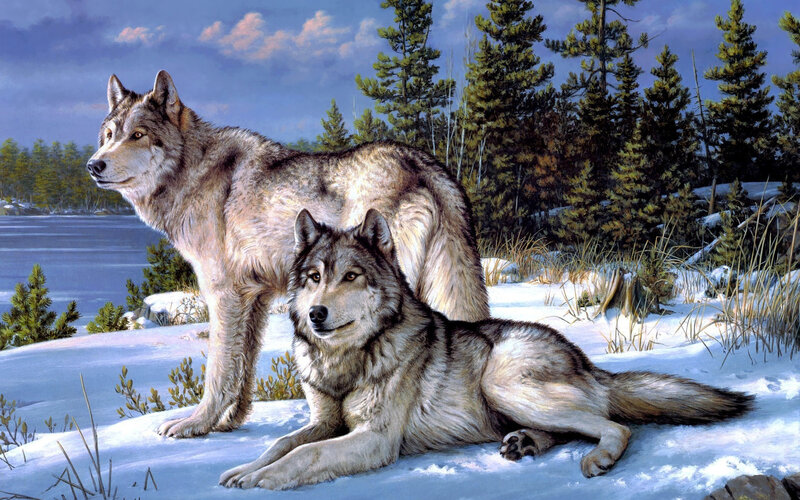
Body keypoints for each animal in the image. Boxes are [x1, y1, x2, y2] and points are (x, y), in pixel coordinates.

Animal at [86, 70, 489, 438]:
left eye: (138, 135)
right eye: (109, 136)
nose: (94, 165)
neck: (193, 172)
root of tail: (425, 164)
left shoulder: (223, 295)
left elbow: (218, 370)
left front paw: (195, 425)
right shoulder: (255, 297)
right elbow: (243, 368)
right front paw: (229, 422)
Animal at [219, 208, 753, 489]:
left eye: (350, 276)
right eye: (314, 278)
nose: (316, 314)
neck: (347, 360)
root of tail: (586, 361)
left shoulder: (374, 439)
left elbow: (304, 456)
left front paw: (261, 479)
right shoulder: (324, 422)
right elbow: (280, 444)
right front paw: (243, 468)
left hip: (502, 383)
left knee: (615, 426)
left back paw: (596, 459)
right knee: (571, 428)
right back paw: (525, 444)